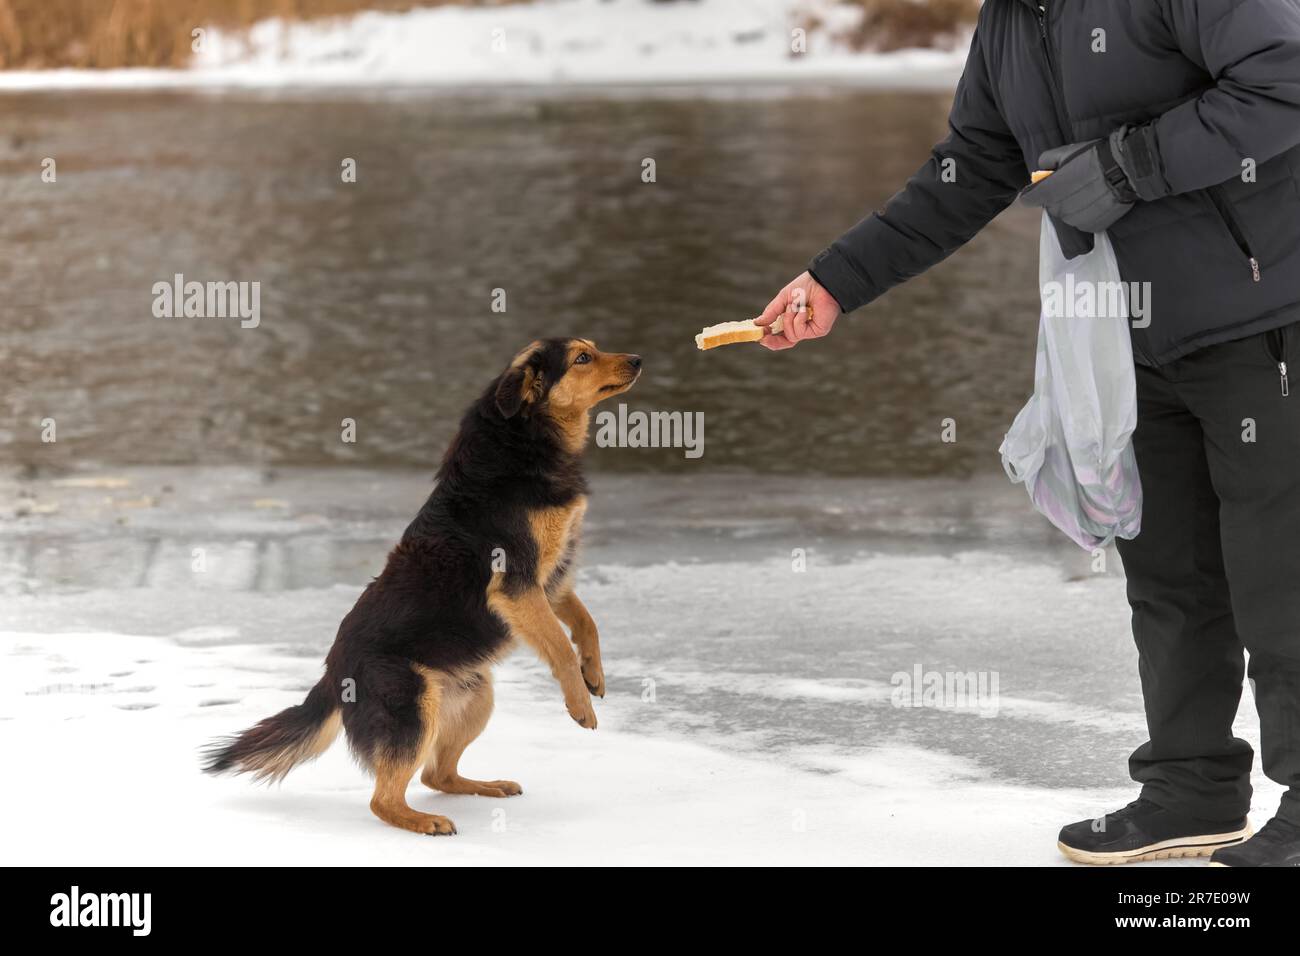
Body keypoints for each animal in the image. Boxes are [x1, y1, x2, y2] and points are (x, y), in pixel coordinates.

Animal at [202, 340, 644, 832]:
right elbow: (561, 648)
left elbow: (586, 625)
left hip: (474, 697)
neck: (525, 437)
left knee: (438, 775)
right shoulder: (518, 586)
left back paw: (485, 786)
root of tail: (332, 673)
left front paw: (595, 673)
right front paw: (580, 704)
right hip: (411, 710)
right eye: (582, 358)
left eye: (594, 349)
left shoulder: (553, 580)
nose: (639, 360)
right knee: (384, 799)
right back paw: (423, 822)